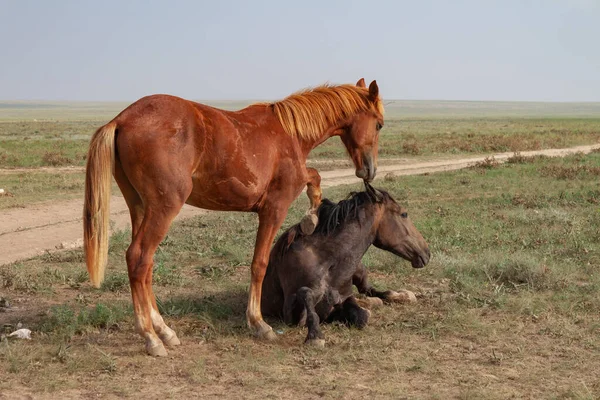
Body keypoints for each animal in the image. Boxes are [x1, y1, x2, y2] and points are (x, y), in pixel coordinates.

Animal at [83, 78, 384, 356]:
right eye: (379, 124)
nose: (369, 170)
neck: (290, 134)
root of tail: (122, 119)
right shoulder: (274, 208)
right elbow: (259, 264)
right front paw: (259, 323)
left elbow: (314, 177)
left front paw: (311, 217)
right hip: (163, 208)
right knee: (139, 259)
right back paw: (151, 338)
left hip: (139, 208)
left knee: (145, 267)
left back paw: (164, 331)